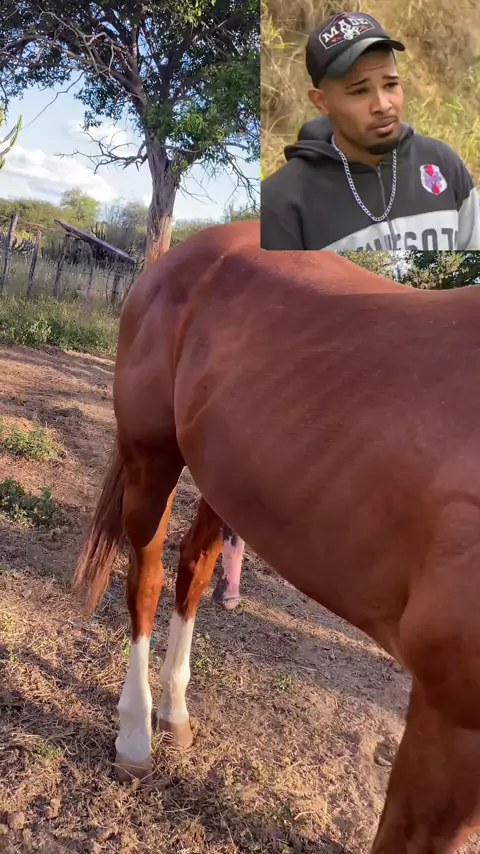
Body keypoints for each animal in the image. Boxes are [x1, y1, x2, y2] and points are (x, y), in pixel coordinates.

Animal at [74, 220, 480, 853]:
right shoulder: (450, 718)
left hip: (222, 477)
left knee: (194, 569)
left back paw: (174, 714)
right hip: (150, 459)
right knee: (147, 578)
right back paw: (136, 735)